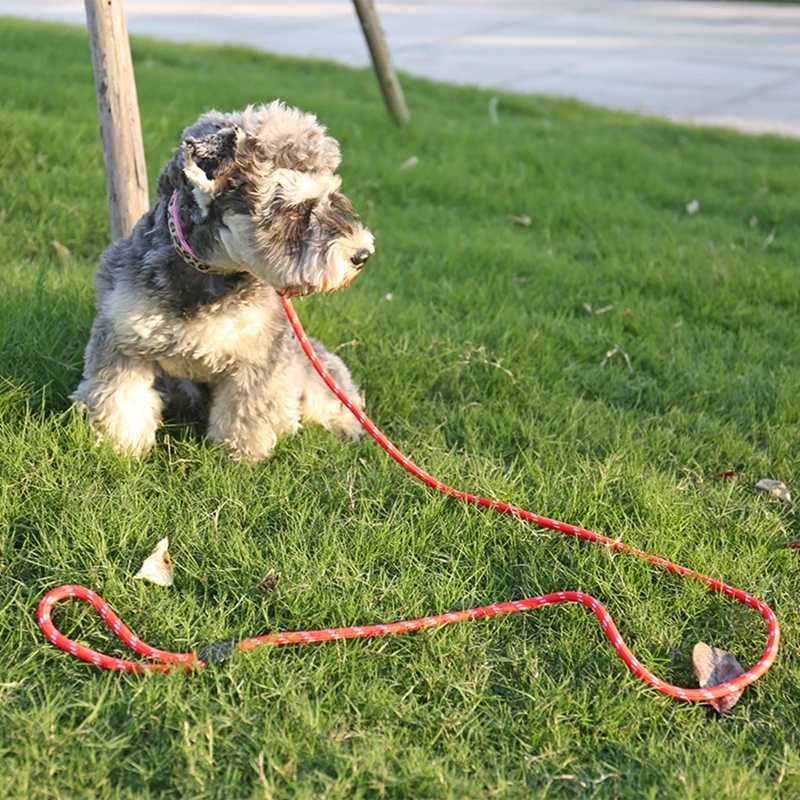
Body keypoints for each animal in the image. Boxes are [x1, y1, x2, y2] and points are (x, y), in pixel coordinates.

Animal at [73, 101, 374, 462]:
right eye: (292, 211)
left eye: (331, 199)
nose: (362, 254)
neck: (209, 275)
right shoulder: (123, 341)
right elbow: (120, 399)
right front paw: (119, 446)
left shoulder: (259, 357)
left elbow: (246, 412)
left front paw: (240, 457)